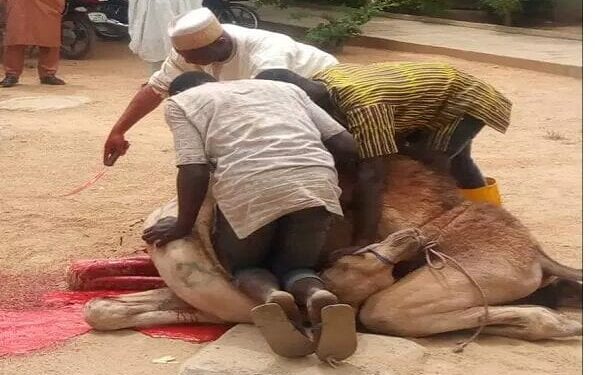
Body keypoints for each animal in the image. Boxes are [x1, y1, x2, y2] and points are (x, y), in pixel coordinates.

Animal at [84, 159, 580, 344]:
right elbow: (101, 310)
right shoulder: (212, 297)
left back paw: (558, 324)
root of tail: (536, 251)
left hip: (478, 266)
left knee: (384, 312)